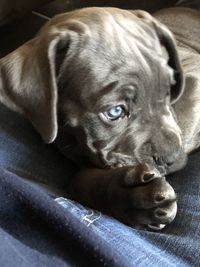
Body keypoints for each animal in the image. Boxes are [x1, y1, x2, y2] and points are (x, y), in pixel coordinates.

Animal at [0, 7, 199, 231]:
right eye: (114, 112)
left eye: (170, 90)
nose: (171, 158)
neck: (74, 141)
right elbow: (78, 179)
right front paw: (130, 197)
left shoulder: (194, 75)